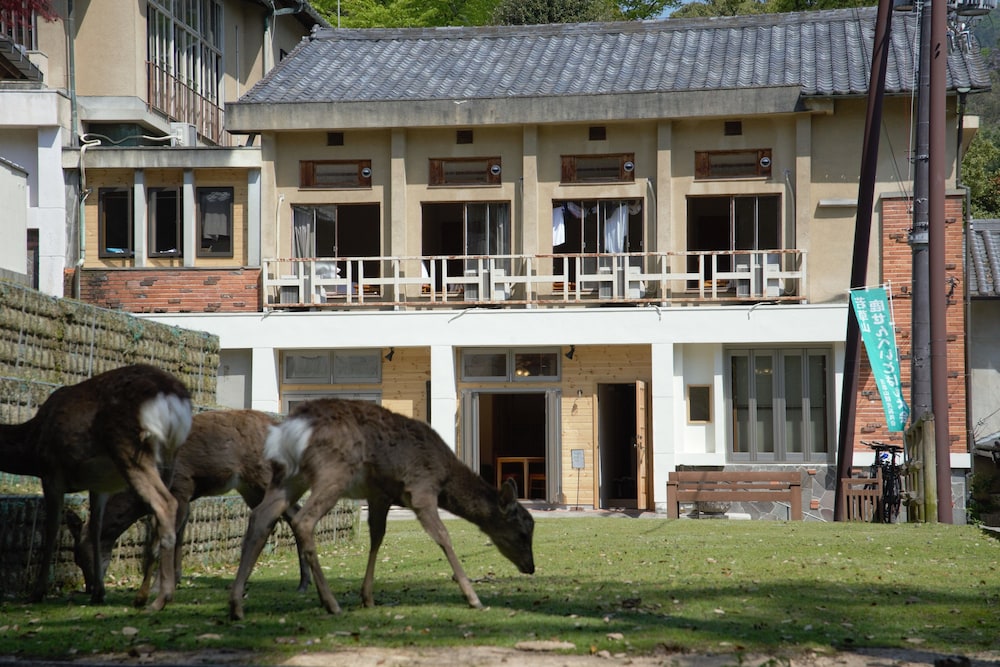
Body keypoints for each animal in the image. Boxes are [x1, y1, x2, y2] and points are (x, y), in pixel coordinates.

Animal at [0, 366, 191, 612]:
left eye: (77, 558)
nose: (89, 586)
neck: (31, 446)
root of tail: (174, 397)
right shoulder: (98, 485)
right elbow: (96, 528)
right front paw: (99, 593)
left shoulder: (52, 471)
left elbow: (52, 528)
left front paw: (37, 592)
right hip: (169, 458)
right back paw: (144, 596)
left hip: (129, 446)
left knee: (165, 504)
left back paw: (160, 599)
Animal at [73, 410, 312, 608]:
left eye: (81, 556)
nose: (90, 590)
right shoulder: (185, 497)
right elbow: (175, 537)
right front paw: (172, 580)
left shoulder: (180, 486)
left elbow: (163, 540)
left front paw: (158, 587)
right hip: (250, 488)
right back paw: (298, 582)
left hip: (263, 477)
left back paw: (302, 582)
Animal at [229, 396, 536, 620]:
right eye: (523, 531)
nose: (531, 567)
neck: (445, 476)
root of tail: (290, 429)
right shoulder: (421, 488)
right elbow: (443, 537)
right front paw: (473, 598)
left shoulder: (380, 495)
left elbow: (377, 537)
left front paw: (367, 597)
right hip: (333, 471)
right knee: (303, 520)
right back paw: (330, 603)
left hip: (288, 476)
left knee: (261, 516)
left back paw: (236, 605)